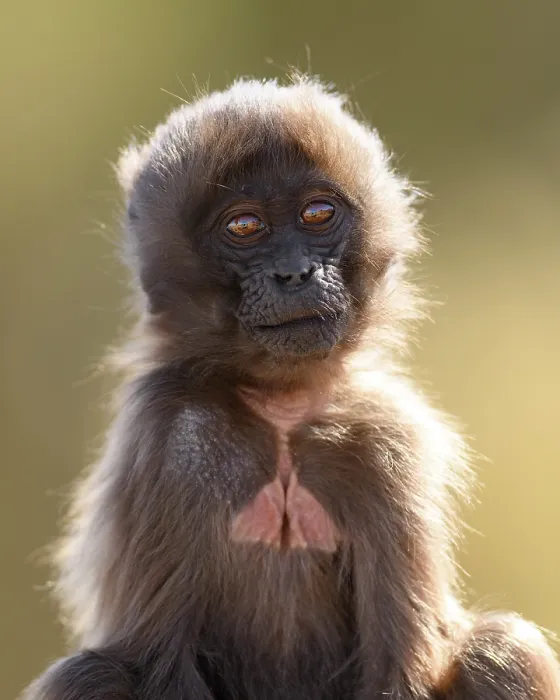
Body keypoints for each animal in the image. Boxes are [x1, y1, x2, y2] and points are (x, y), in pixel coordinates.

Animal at [22, 77, 560, 700]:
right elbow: (159, 660)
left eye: (317, 214)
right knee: (89, 674)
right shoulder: (169, 438)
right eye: (244, 227)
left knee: (503, 648)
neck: (281, 409)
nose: (295, 273)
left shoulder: (386, 442)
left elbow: (402, 666)